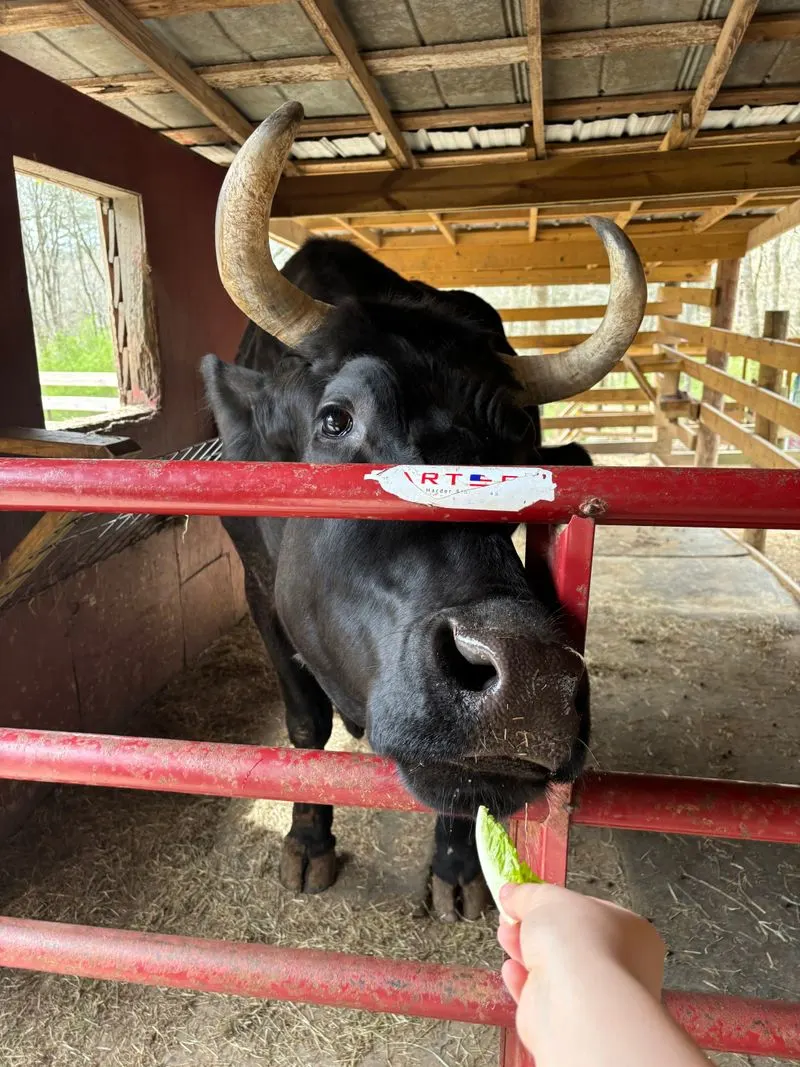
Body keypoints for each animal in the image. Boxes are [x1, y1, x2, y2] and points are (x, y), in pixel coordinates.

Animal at [203, 102, 646, 920]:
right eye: (335, 421)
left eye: (521, 451)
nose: (528, 681)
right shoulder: (258, 593)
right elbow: (305, 725)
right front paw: (308, 841)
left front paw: (457, 868)